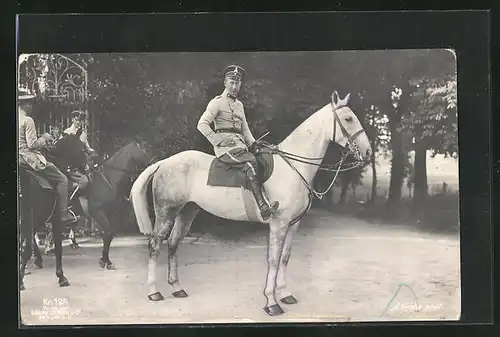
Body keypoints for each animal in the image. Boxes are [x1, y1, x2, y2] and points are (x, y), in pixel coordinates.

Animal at [18, 134, 150, 288]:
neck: (108, 180)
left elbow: (109, 235)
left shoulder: (111, 214)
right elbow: (107, 233)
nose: (151, 162)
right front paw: (103, 260)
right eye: (142, 151)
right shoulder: (98, 213)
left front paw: (106, 260)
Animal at [129, 90, 372, 316]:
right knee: (155, 245)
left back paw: (177, 288)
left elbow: (285, 257)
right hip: (166, 212)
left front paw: (285, 294)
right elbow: (273, 259)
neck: (293, 167)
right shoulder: (279, 224)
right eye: (348, 118)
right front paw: (271, 303)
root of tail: (163, 162)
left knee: (173, 244)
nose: (368, 152)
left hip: (187, 212)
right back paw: (154, 292)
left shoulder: (293, 224)